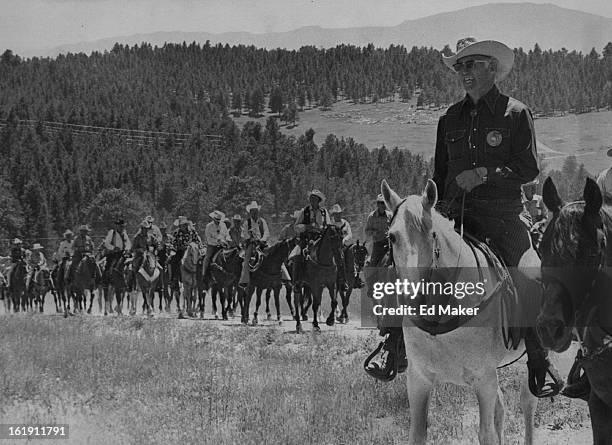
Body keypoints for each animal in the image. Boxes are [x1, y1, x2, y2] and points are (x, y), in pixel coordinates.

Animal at [382, 180, 540, 444]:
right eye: (392, 237)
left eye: (432, 233)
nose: (412, 296)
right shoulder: (418, 380)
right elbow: (417, 434)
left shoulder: (484, 380)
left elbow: (486, 434)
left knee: (528, 401)